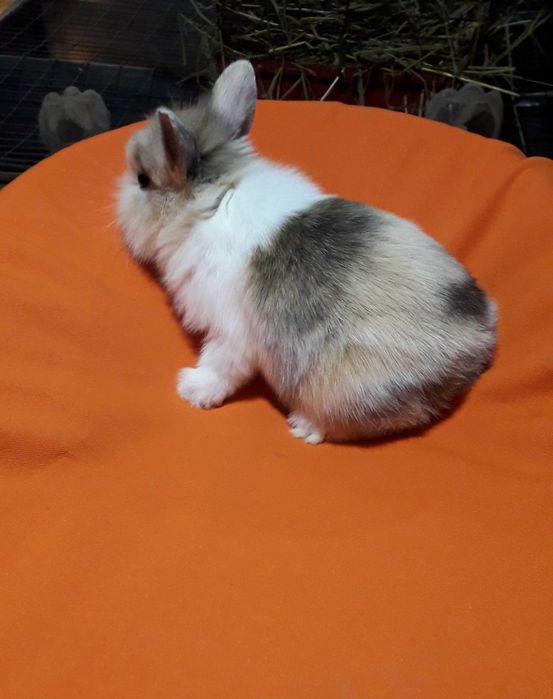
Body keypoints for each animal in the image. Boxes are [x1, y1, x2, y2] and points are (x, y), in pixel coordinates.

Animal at [117, 60, 497, 444]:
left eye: (143, 180)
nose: (117, 200)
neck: (214, 200)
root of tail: (479, 336)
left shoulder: (231, 332)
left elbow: (220, 365)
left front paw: (191, 389)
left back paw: (304, 425)